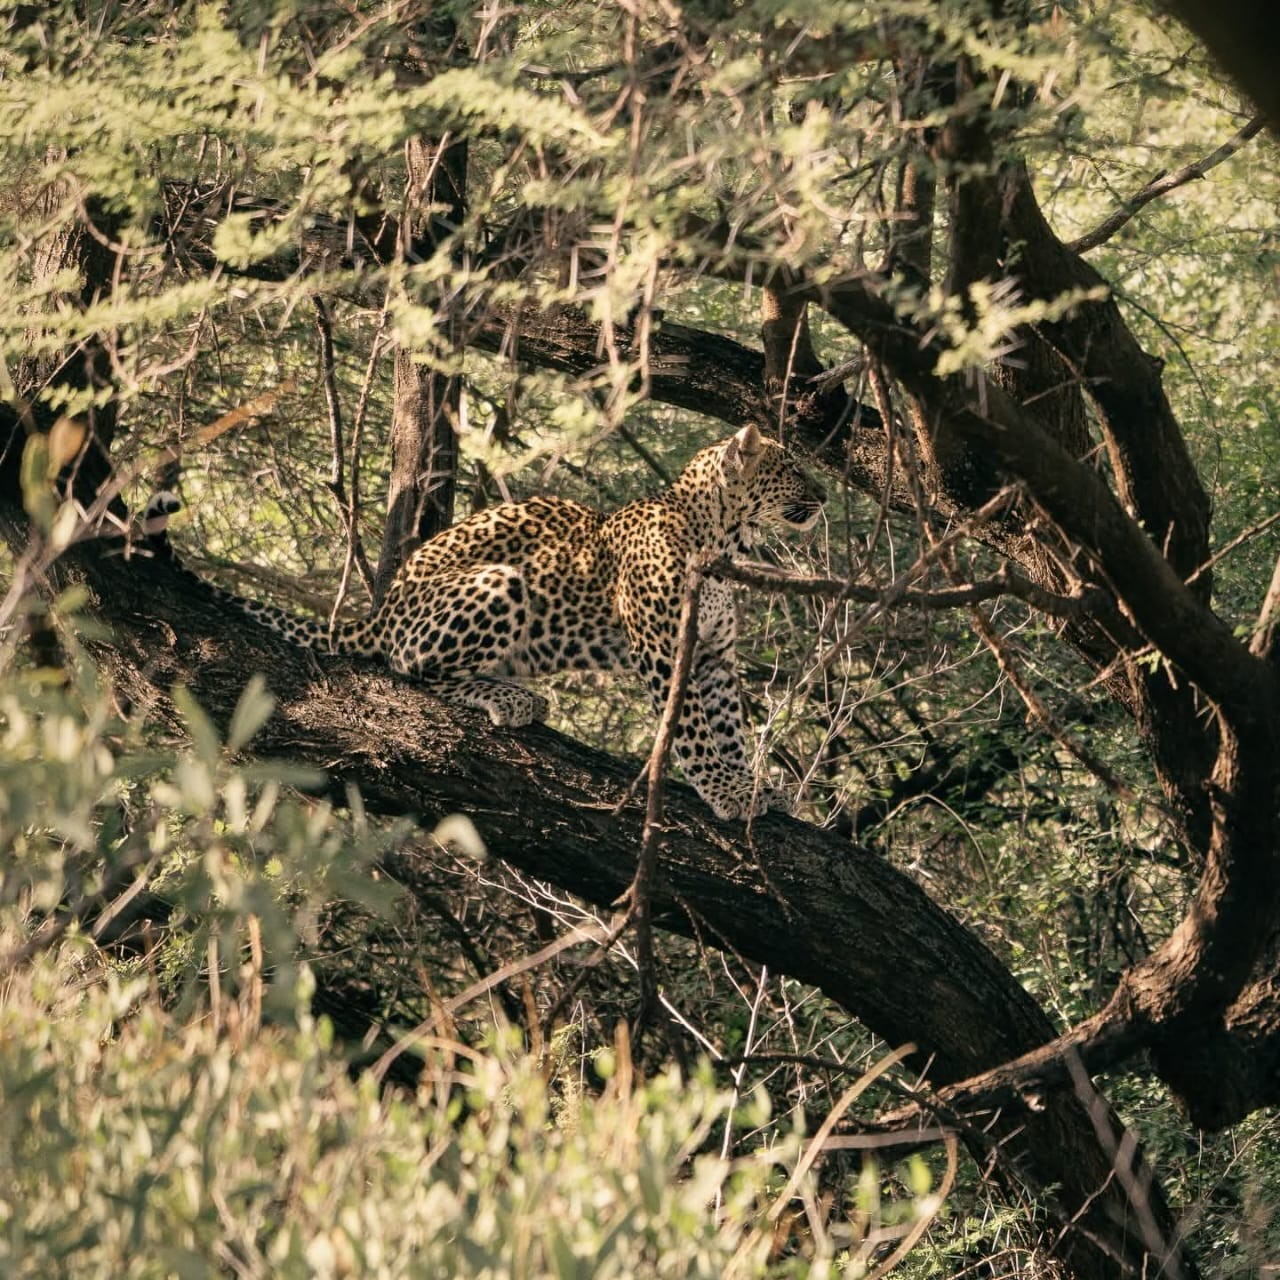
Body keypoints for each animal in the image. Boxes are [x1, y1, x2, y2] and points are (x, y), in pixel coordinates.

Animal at [151, 424, 825, 820]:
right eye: (793, 469)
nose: (822, 496)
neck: (723, 541)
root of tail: (380, 611)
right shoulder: (664, 646)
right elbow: (691, 731)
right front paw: (726, 792)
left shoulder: (713, 656)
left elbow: (729, 726)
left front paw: (751, 785)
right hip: (499, 583)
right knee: (413, 669)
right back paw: (510, 698)